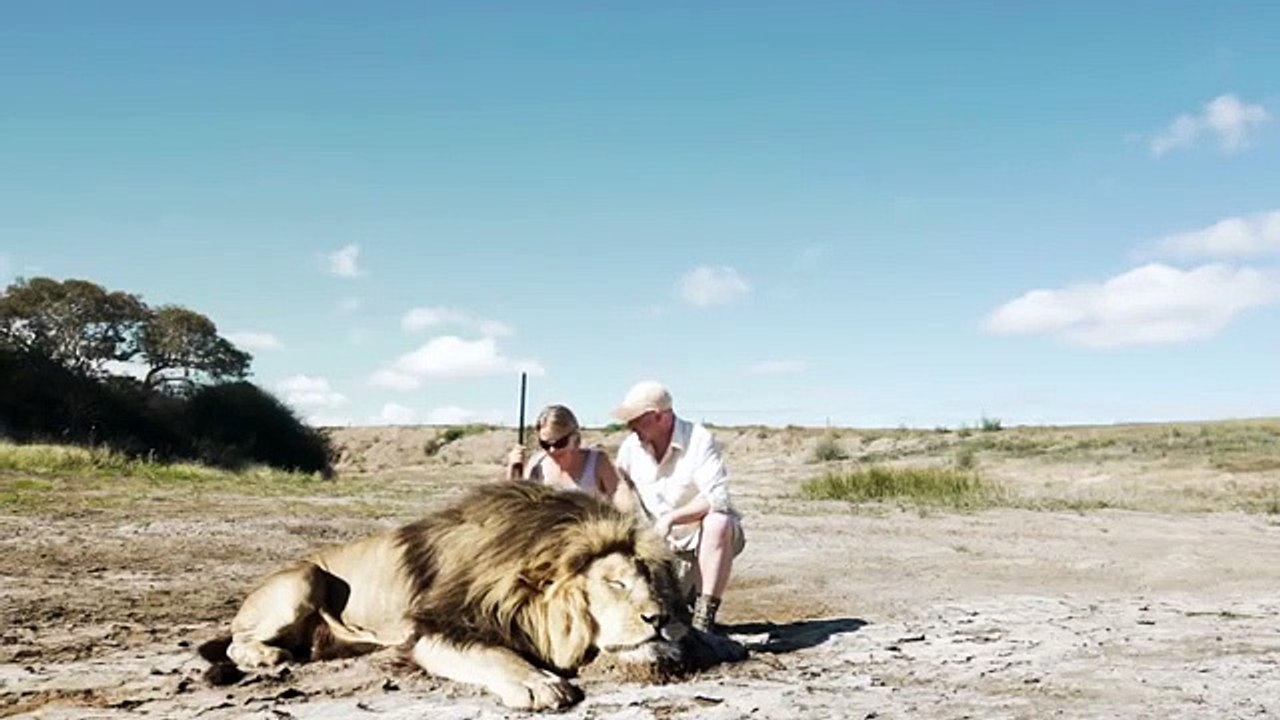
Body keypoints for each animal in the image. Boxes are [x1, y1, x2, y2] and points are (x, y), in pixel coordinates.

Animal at [197, 481, 697, 711]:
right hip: (305, 576)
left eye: (651, 582)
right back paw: (267, 657)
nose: (660, 618)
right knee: (236, 642)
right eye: (615, 583)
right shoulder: (434, 628)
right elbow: (493, 653)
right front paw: (540, 683)